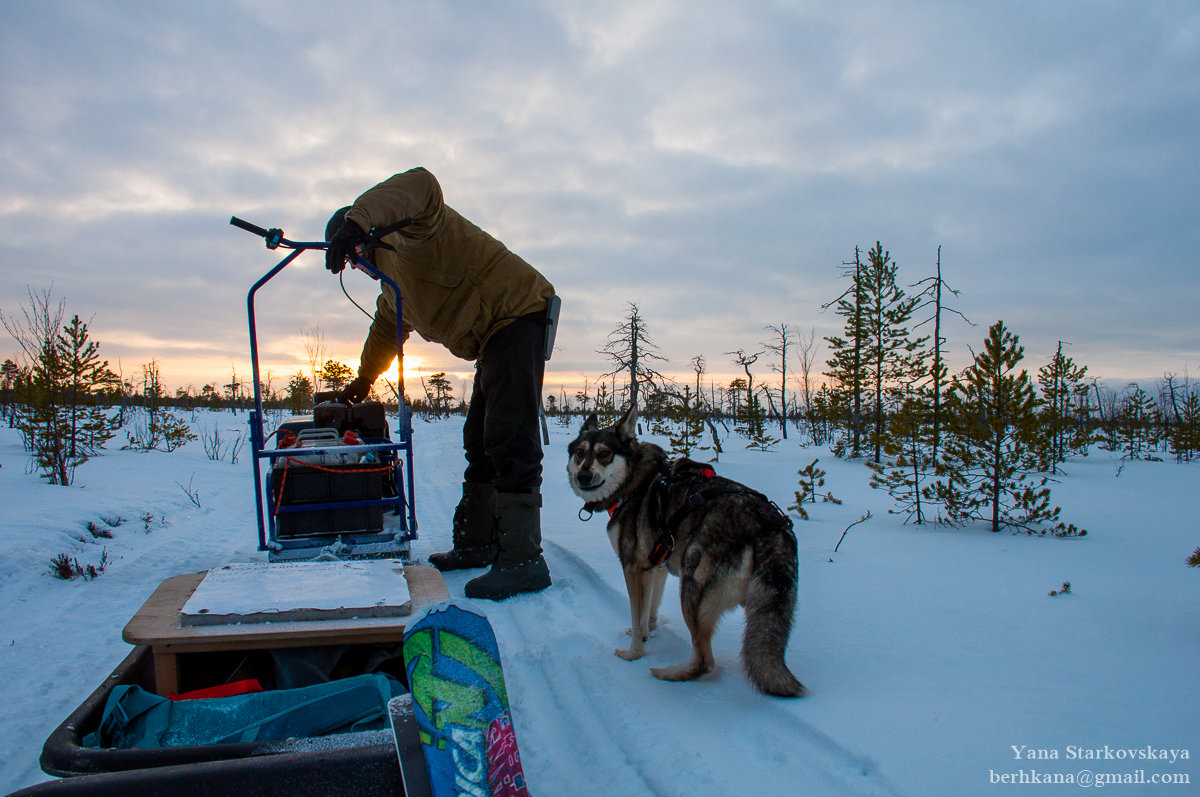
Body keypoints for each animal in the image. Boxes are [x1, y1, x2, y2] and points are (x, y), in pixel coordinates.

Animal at [566, 405, 811, 696]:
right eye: (580, 453)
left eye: (604, 454)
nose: (582, 476)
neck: (634, 482)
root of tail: (768, 526)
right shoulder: (655, 567)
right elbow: (648, 611)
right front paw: (647, 632)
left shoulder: (633, 568)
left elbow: (637, 614)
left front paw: (633, 653)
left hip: (692, 587)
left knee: (705, 661)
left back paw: (668, 673)